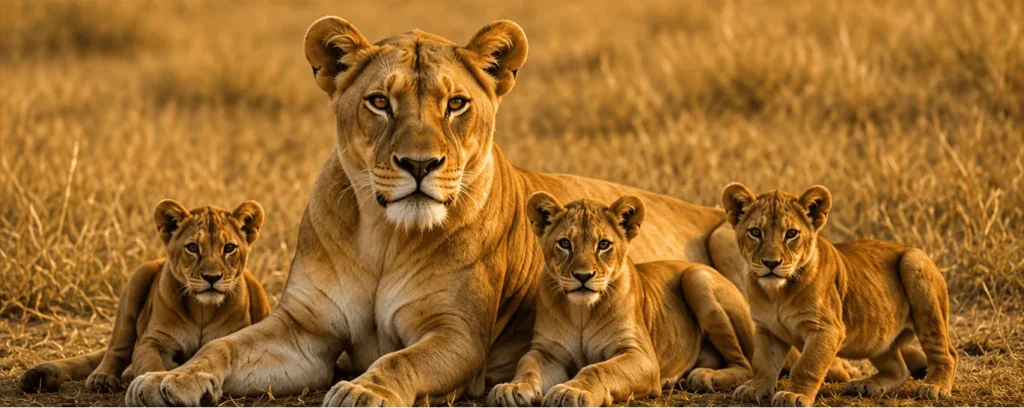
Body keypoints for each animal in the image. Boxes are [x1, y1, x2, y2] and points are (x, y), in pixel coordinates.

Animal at [20, 199, 271, 395]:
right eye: (192, 247)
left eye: (229, 248)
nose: (212, 277)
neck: (202, 309)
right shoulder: (152, 340)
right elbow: (149, 362)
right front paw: (152, 381)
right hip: (138, 277)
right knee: (116, 350)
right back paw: (102, 378)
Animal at [487, 193, 753, 408]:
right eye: (564, 243)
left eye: (604, 244)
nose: (583, 276)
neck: (582, 312)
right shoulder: (547, 352)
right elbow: (527, 365)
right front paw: (512, 388)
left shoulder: (640, 355)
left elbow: (598, 369)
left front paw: (571, 391)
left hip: (697, 277)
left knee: (745, 366)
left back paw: (706, 377)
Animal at [722, 183, 958, 407]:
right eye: (755, 232)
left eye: (791, 234)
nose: (771, 263)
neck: (777, 293)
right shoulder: (767, 329)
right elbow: (762, 362)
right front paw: (755, 389)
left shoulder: (827, 329)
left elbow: (806, 365)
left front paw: (794, 395)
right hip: (877, 337)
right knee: (899, 368)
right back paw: (866, 385)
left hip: (916, 268)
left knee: (946, 353)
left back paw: (935, 387)